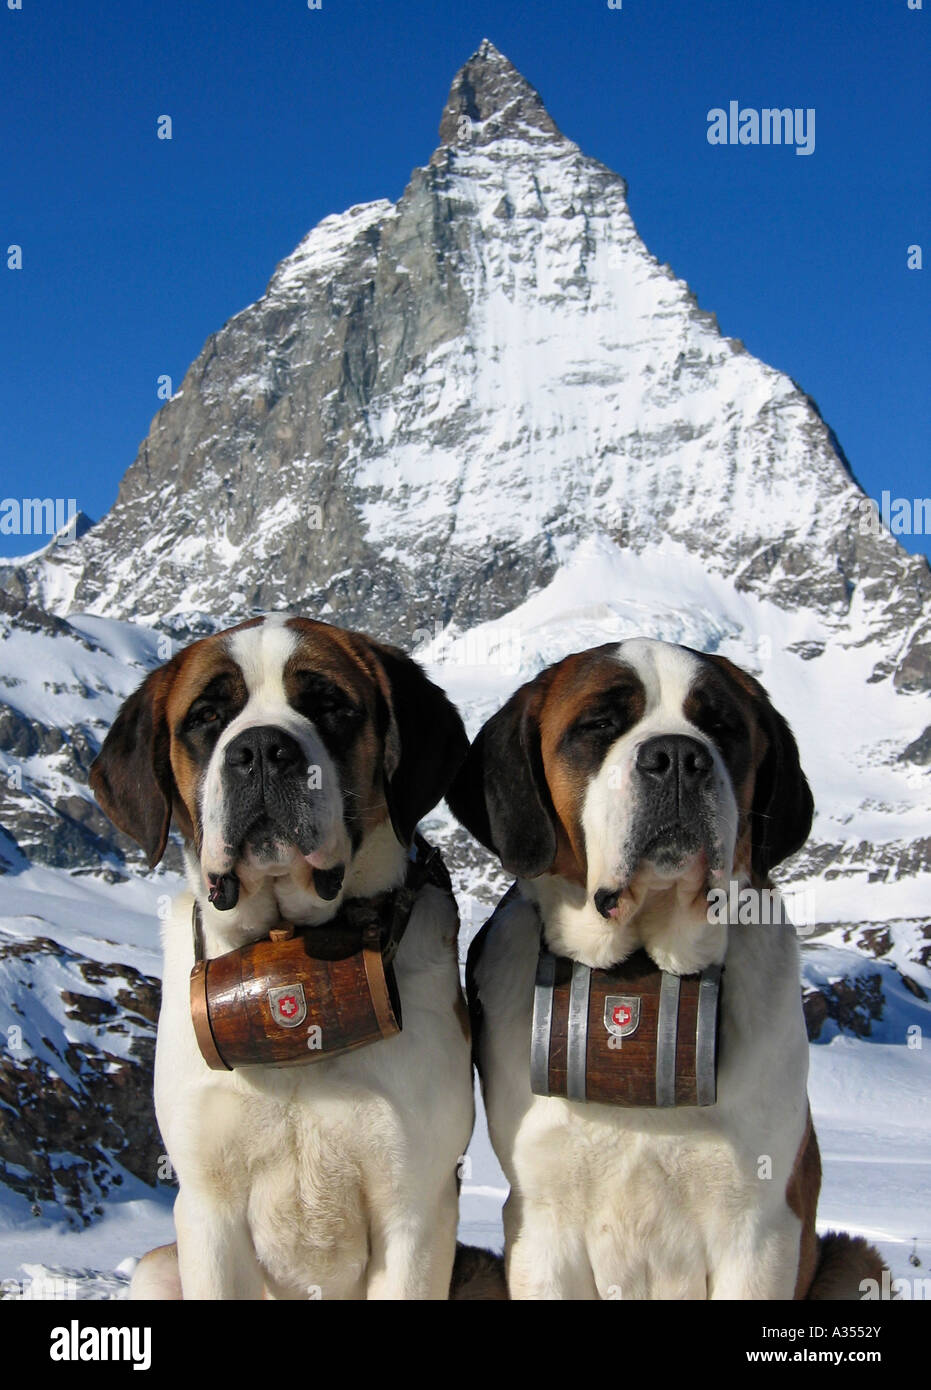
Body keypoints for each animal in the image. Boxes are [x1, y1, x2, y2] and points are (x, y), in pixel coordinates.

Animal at [91, 614, 478, 1295]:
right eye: (206, 716)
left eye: (329, 705)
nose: (262, 751)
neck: (288, 943)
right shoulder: (207, 1208)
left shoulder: (416, 1209)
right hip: (158, 1266)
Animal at [452, 639, 889, 1301]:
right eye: (600, 724)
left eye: (721, 727)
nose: (679, 757)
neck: (642, 967)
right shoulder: (540, 1227)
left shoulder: (761, 1231)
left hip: (856, 1261)